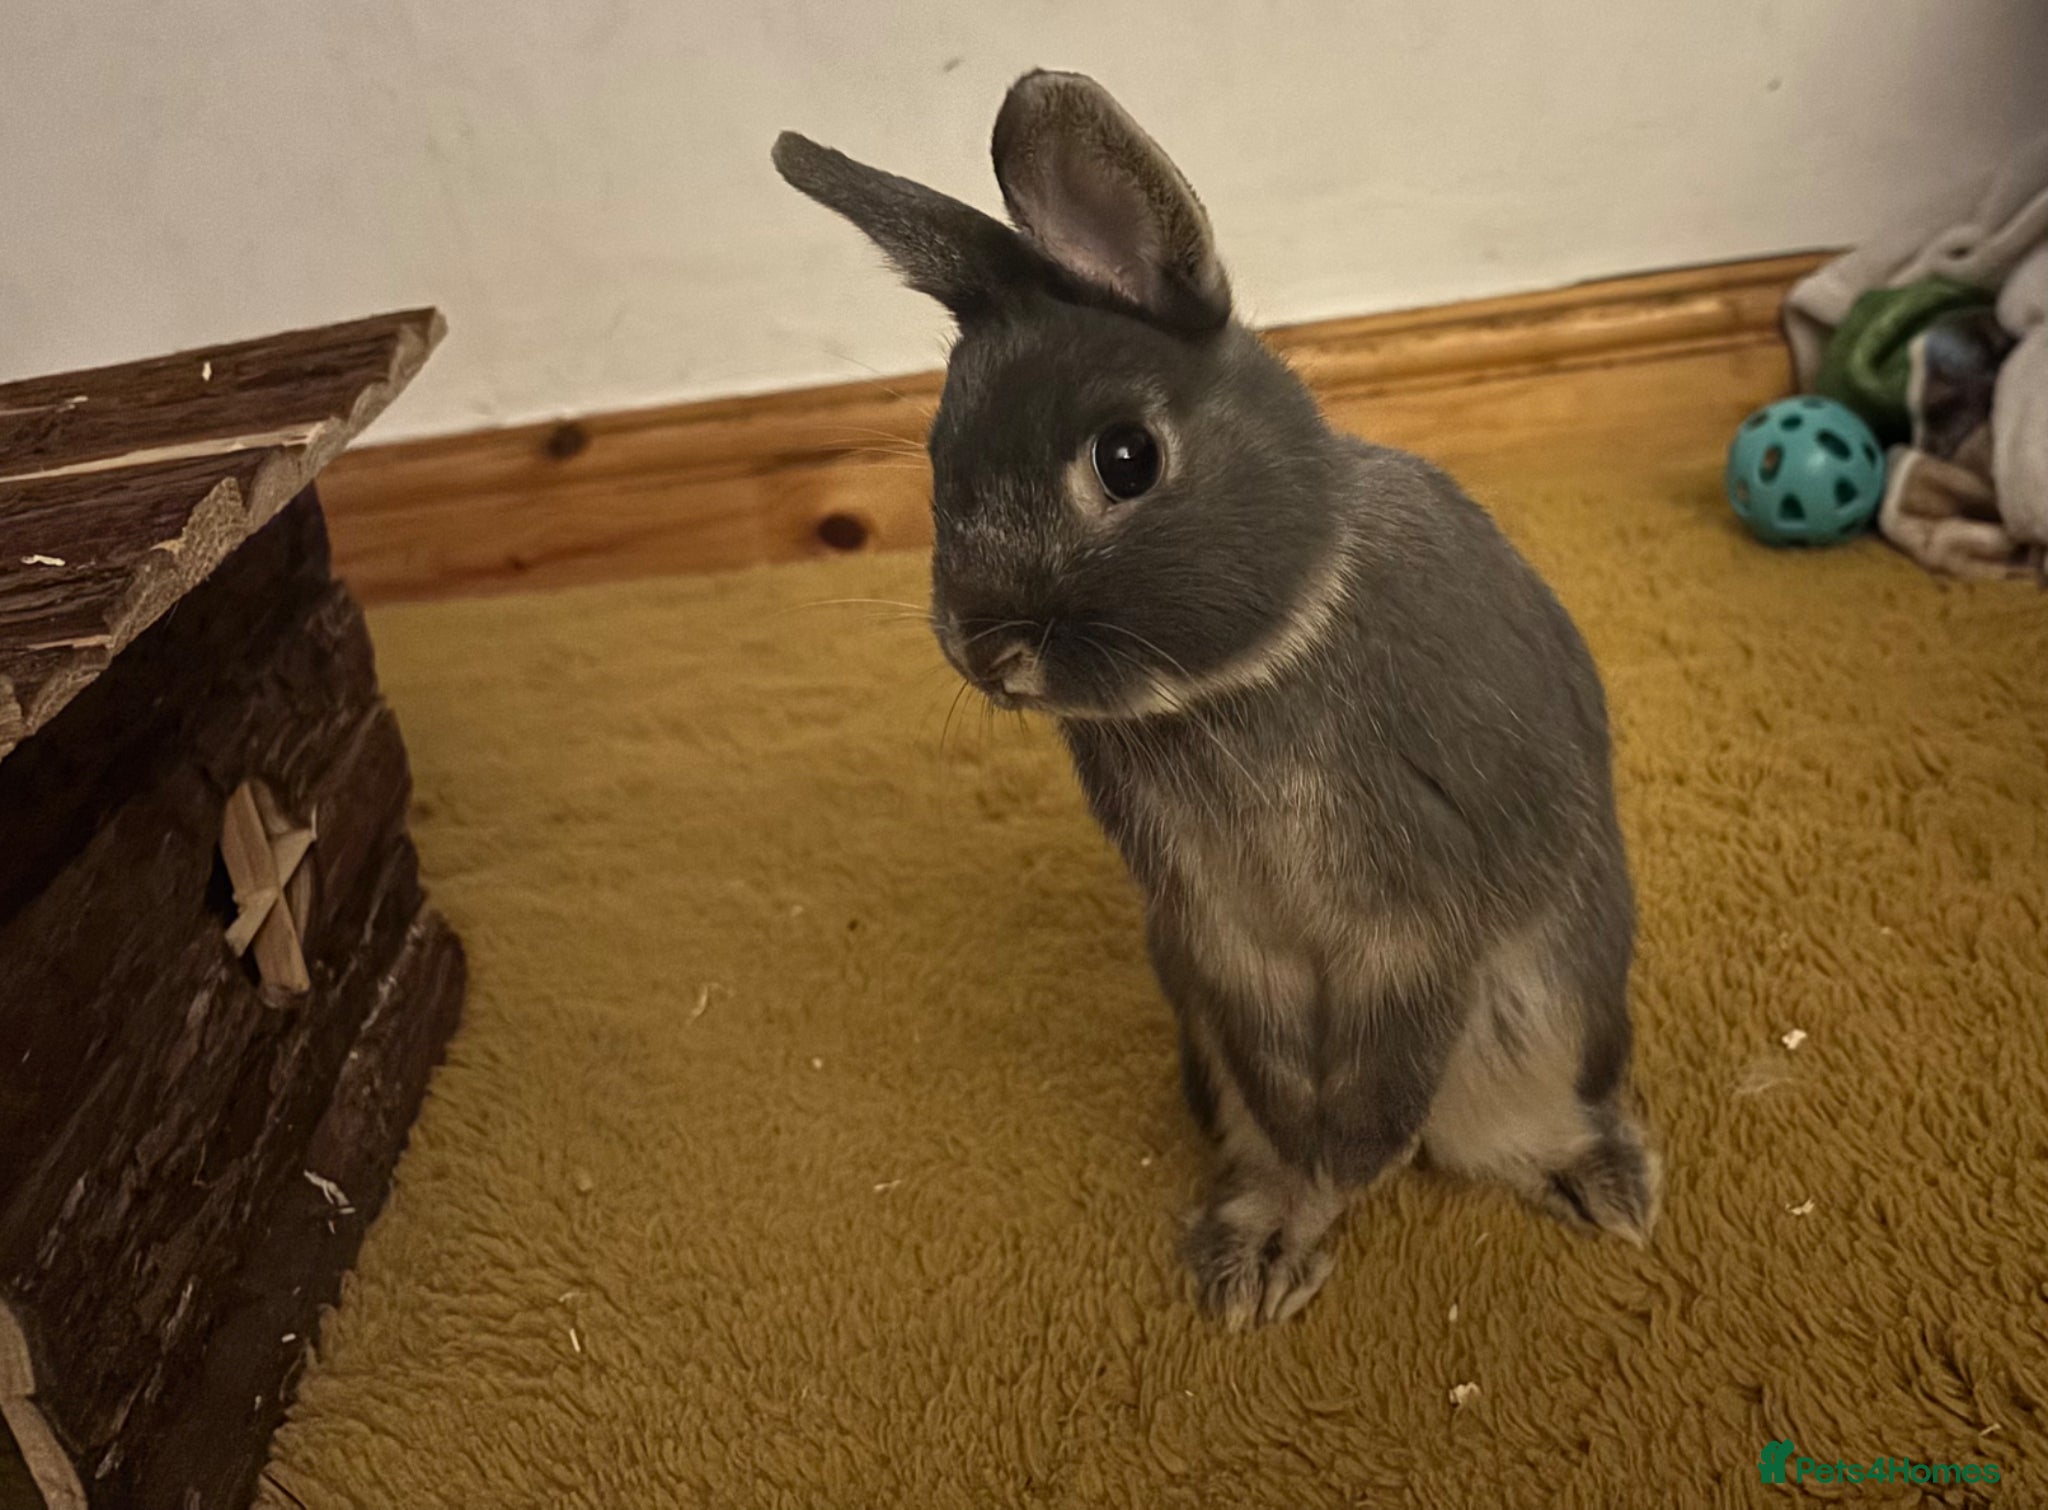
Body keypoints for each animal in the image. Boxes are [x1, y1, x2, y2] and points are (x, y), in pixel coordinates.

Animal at [773, 70, 1660, 1328]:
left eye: (1126, 458)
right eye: (937, 463)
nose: (986, 650)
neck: (1250, 672)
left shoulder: (1414, 925)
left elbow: (1378, 1077)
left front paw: (1350, 1164)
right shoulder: (1219, 938)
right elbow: (1284, 1089)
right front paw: (1304, 1198)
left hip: (1546, 1009)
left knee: (1515, 1119)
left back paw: (1602, 1187)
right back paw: (1255, 1254)